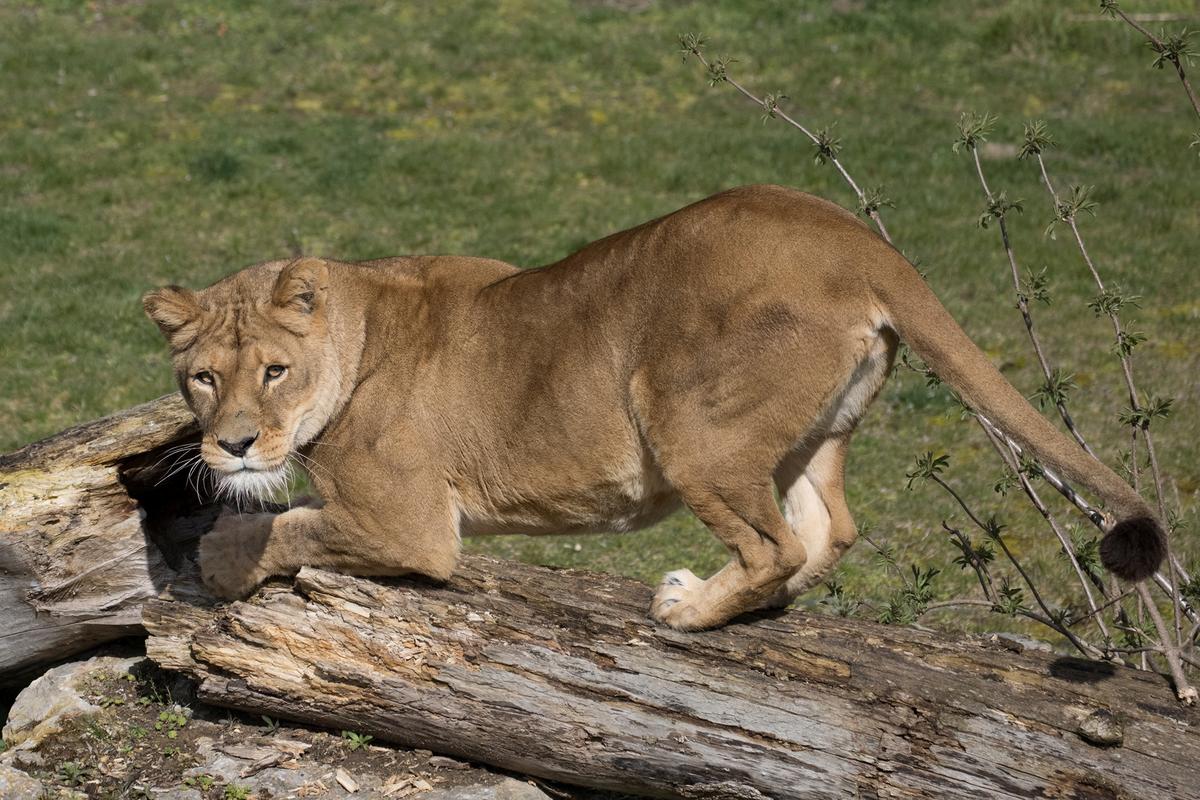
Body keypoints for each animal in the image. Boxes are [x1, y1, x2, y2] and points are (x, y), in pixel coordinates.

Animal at [144, 185, 1165, 630]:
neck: (356, 333)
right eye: (203, 378)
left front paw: (222, 557)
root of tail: (845, 233)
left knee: (774, 543)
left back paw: (686, 609)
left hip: (688, 422)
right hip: (811, 430)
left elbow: (285, 526)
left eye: (274, 371)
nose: (233, 446)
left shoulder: (411, 529)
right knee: (826, 529)